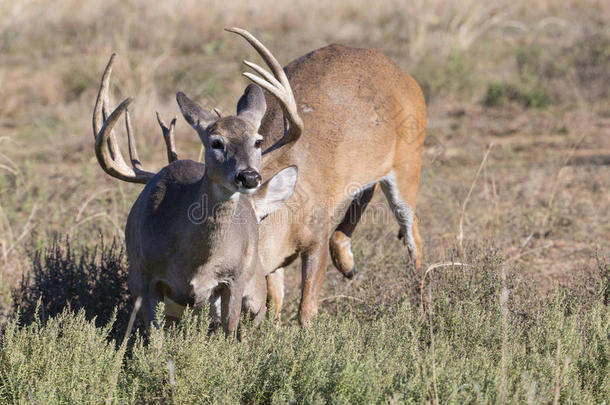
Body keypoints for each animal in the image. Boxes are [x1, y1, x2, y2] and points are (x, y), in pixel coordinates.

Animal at [202, 28, 426, 324]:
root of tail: (406, 77)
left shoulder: (318, 233)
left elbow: (306, 308)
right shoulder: (272, 262)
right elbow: (275, 301)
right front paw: (271, 330)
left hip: (409, 163)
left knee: (413, 234)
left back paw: (424, 308)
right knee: (368, 189)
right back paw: (347, 262)